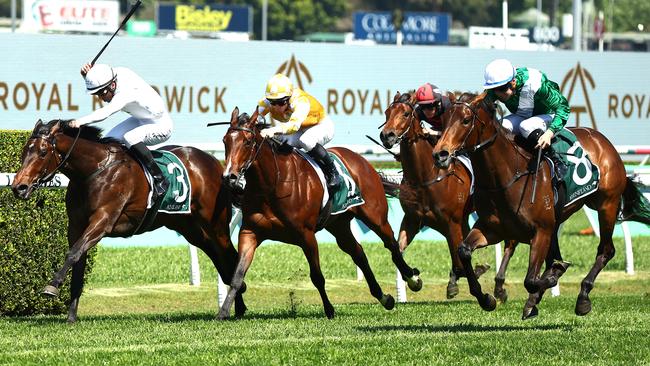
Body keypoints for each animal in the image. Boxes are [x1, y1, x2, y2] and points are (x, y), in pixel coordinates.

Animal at [12, 118, 246, 322]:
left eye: (43, 152)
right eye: (24, 150)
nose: (19, 187)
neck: (95, 169)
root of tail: (217, 164)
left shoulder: (103, 220)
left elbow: (73, 253)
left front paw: (51, 286)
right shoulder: (76, 226)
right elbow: (78, 262)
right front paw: (71, 316)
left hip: (215, 226)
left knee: (231, 257)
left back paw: (235, 306)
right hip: (194, 230)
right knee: (221, 259)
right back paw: (238, 305)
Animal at [215, 108, 422, 320]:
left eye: (247, 141)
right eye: (225, 141)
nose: (229, 177)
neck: (273, 184)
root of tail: (359, 159)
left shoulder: (306, 235)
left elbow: (317, 276)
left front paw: (329, 309)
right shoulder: (249, 233)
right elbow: (237, 276)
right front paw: (223, 312)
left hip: (375, 216)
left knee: (392, 244)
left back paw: (412, 279)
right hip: (338, 225)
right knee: (358, 252)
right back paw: (384, 297)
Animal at [378, 91, 512, 300]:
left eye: (406, 113)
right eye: (387, 112)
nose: (386, 135)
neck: (425, 176)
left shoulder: (451, 223)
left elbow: (459, 260)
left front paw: (472, 274)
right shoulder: (412, 220)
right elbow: (397, 252)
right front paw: (414, 279)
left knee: (510, 242)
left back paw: (499, 286)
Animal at [430, 92, 648, 318]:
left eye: (466, 120)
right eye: (444, 120)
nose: (440, 154)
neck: (508, 176)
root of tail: (602, 140)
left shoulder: (541, 231)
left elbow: (531, 280)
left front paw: (552, 277)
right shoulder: (492, 229)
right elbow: (464, 251)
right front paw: (486, 299)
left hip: (607, 204)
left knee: (606, 250)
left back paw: (582, 297)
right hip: (561, 218)